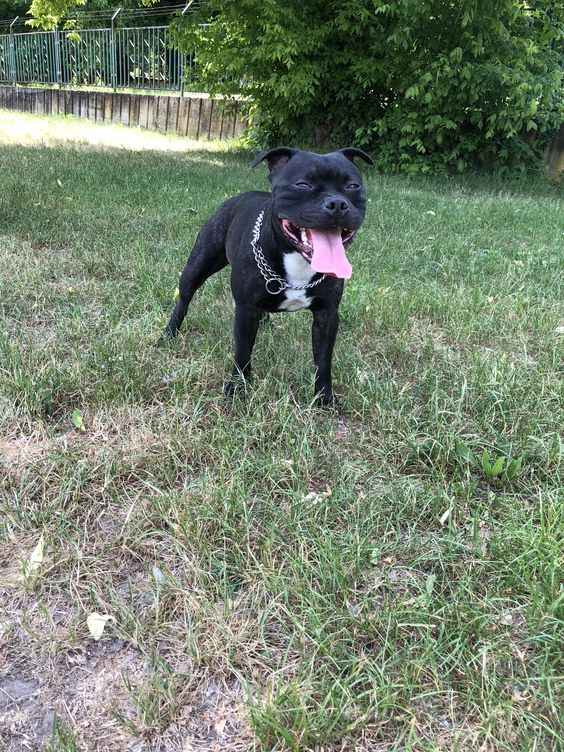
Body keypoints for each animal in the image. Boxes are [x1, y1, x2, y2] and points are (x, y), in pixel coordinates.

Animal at [163, 148, 372, 406]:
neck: (298, 261)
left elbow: (323, 360)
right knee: (183, 300)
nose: (338, 204)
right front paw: (237, 389)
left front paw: (324, 397)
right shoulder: (245, 310)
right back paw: (169, 333)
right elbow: (242, 352)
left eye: (353, 186)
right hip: (198, 264)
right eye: (302, 184)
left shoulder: (327, 314)